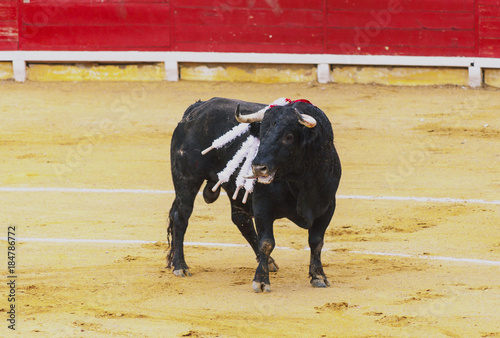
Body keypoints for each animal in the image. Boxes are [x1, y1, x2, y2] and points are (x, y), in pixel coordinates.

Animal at [167, 96, 340, 292]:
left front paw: (319, 276)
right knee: (181, 217)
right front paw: (261, 281)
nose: (257, 167)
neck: (299, 180)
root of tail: (196, 108)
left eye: (288, 137)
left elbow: (316, 242)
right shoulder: (263, 206)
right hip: (186, 181)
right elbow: (267, 242)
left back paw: (269, 263)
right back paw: (180, 266)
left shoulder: (327, 207)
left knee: (240, 220)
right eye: (261, 135)